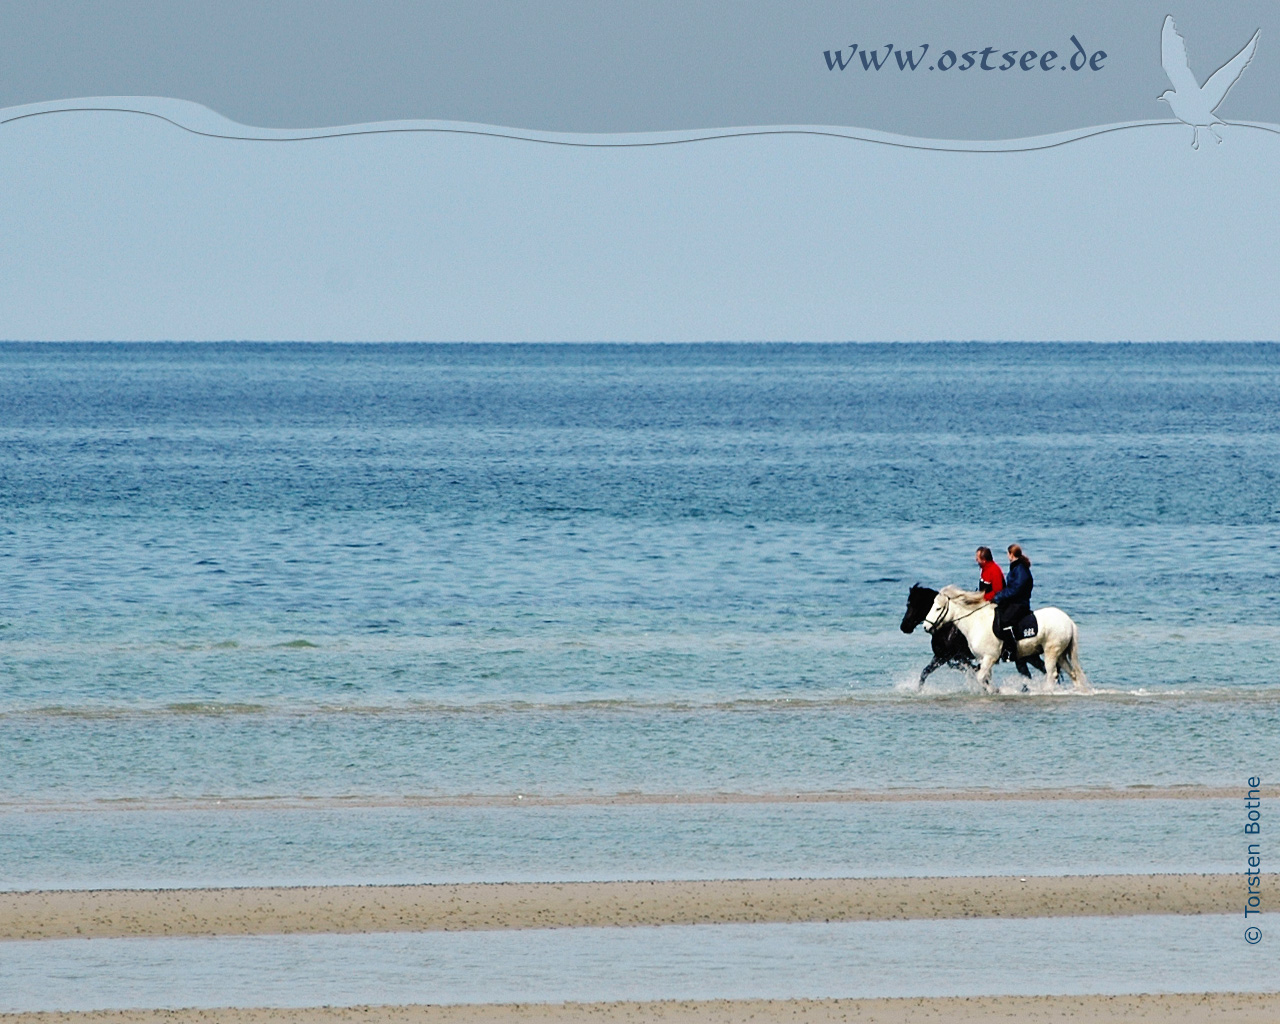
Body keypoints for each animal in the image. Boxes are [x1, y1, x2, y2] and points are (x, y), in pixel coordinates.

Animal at [896, 583, 1044, 686]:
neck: (947, 628)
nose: (904, 627)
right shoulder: (944, 657)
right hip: (1025, 655)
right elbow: (926, 672)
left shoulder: (948, 656)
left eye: (913, 605)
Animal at [921, 588, 1090, 691]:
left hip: (1051, 652)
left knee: (1052, 673)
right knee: (1071, 673)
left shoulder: (990, 657)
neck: (976, 622)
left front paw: (994, 690)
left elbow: (980, 677)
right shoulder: (982, 659)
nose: (925, 627)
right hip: (1060, 654)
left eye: (938, 608)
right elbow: (984, 676)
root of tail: (1068, 621)